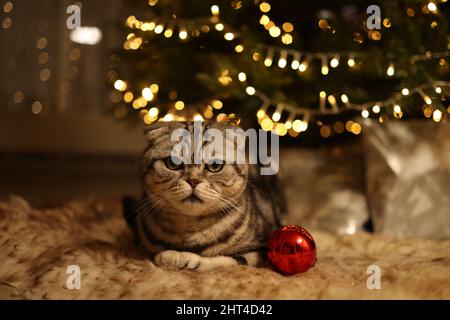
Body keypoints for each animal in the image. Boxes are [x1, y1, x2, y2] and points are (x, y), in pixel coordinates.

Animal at [123, 121, 284, 272]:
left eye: (215, 165)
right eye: (172, 163)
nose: (193, 180)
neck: (188, 229)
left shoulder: (260, 250)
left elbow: (226, 259)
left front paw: (183, 258)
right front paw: (173, 257)